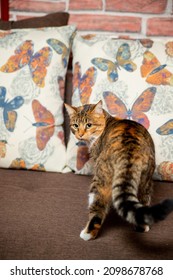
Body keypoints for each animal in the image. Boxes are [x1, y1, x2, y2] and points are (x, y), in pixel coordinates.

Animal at [64, 100, 173, 241]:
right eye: (75, 125)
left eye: (89, 125)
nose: (80, 135)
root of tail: (129, 151)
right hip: (146, 181)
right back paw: (141, 227)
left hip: (100, 179)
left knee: (98, 207)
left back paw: (87, 234)